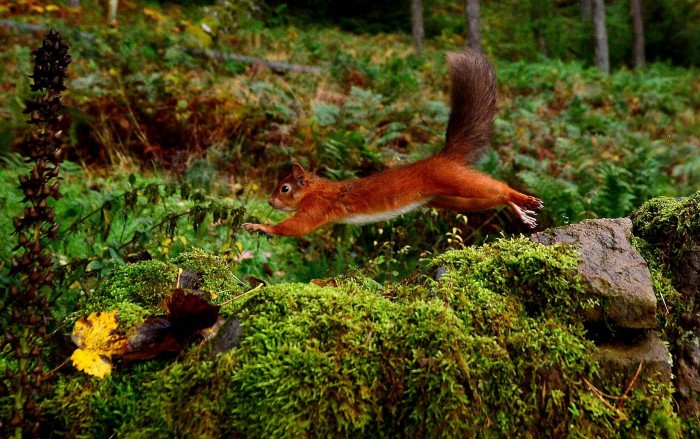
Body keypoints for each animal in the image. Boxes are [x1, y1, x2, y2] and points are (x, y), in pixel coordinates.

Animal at [243, 49, 544, 237]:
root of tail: (442, 158)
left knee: (497, 188)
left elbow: (298, 227)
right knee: (491, 198)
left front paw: (261, 228)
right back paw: (519, 211)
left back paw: (521, 198)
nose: (269, 202)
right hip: (452, 200)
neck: (317, 189)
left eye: (284, 188)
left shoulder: (318, 207)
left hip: (454, 180)